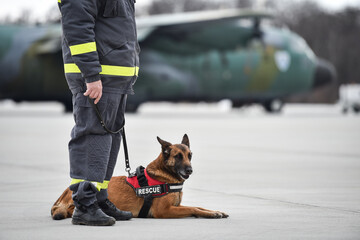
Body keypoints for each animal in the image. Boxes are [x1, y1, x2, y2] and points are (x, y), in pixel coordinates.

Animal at [50, 135, 228, 219]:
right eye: (178, 157)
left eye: (190, 156)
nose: (190, 170)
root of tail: (63, 193)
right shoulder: (165, 211)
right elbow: (192, 209)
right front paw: (211, 214)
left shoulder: (176, 206)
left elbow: (199, 207)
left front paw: (215, 212)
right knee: (71, 209)